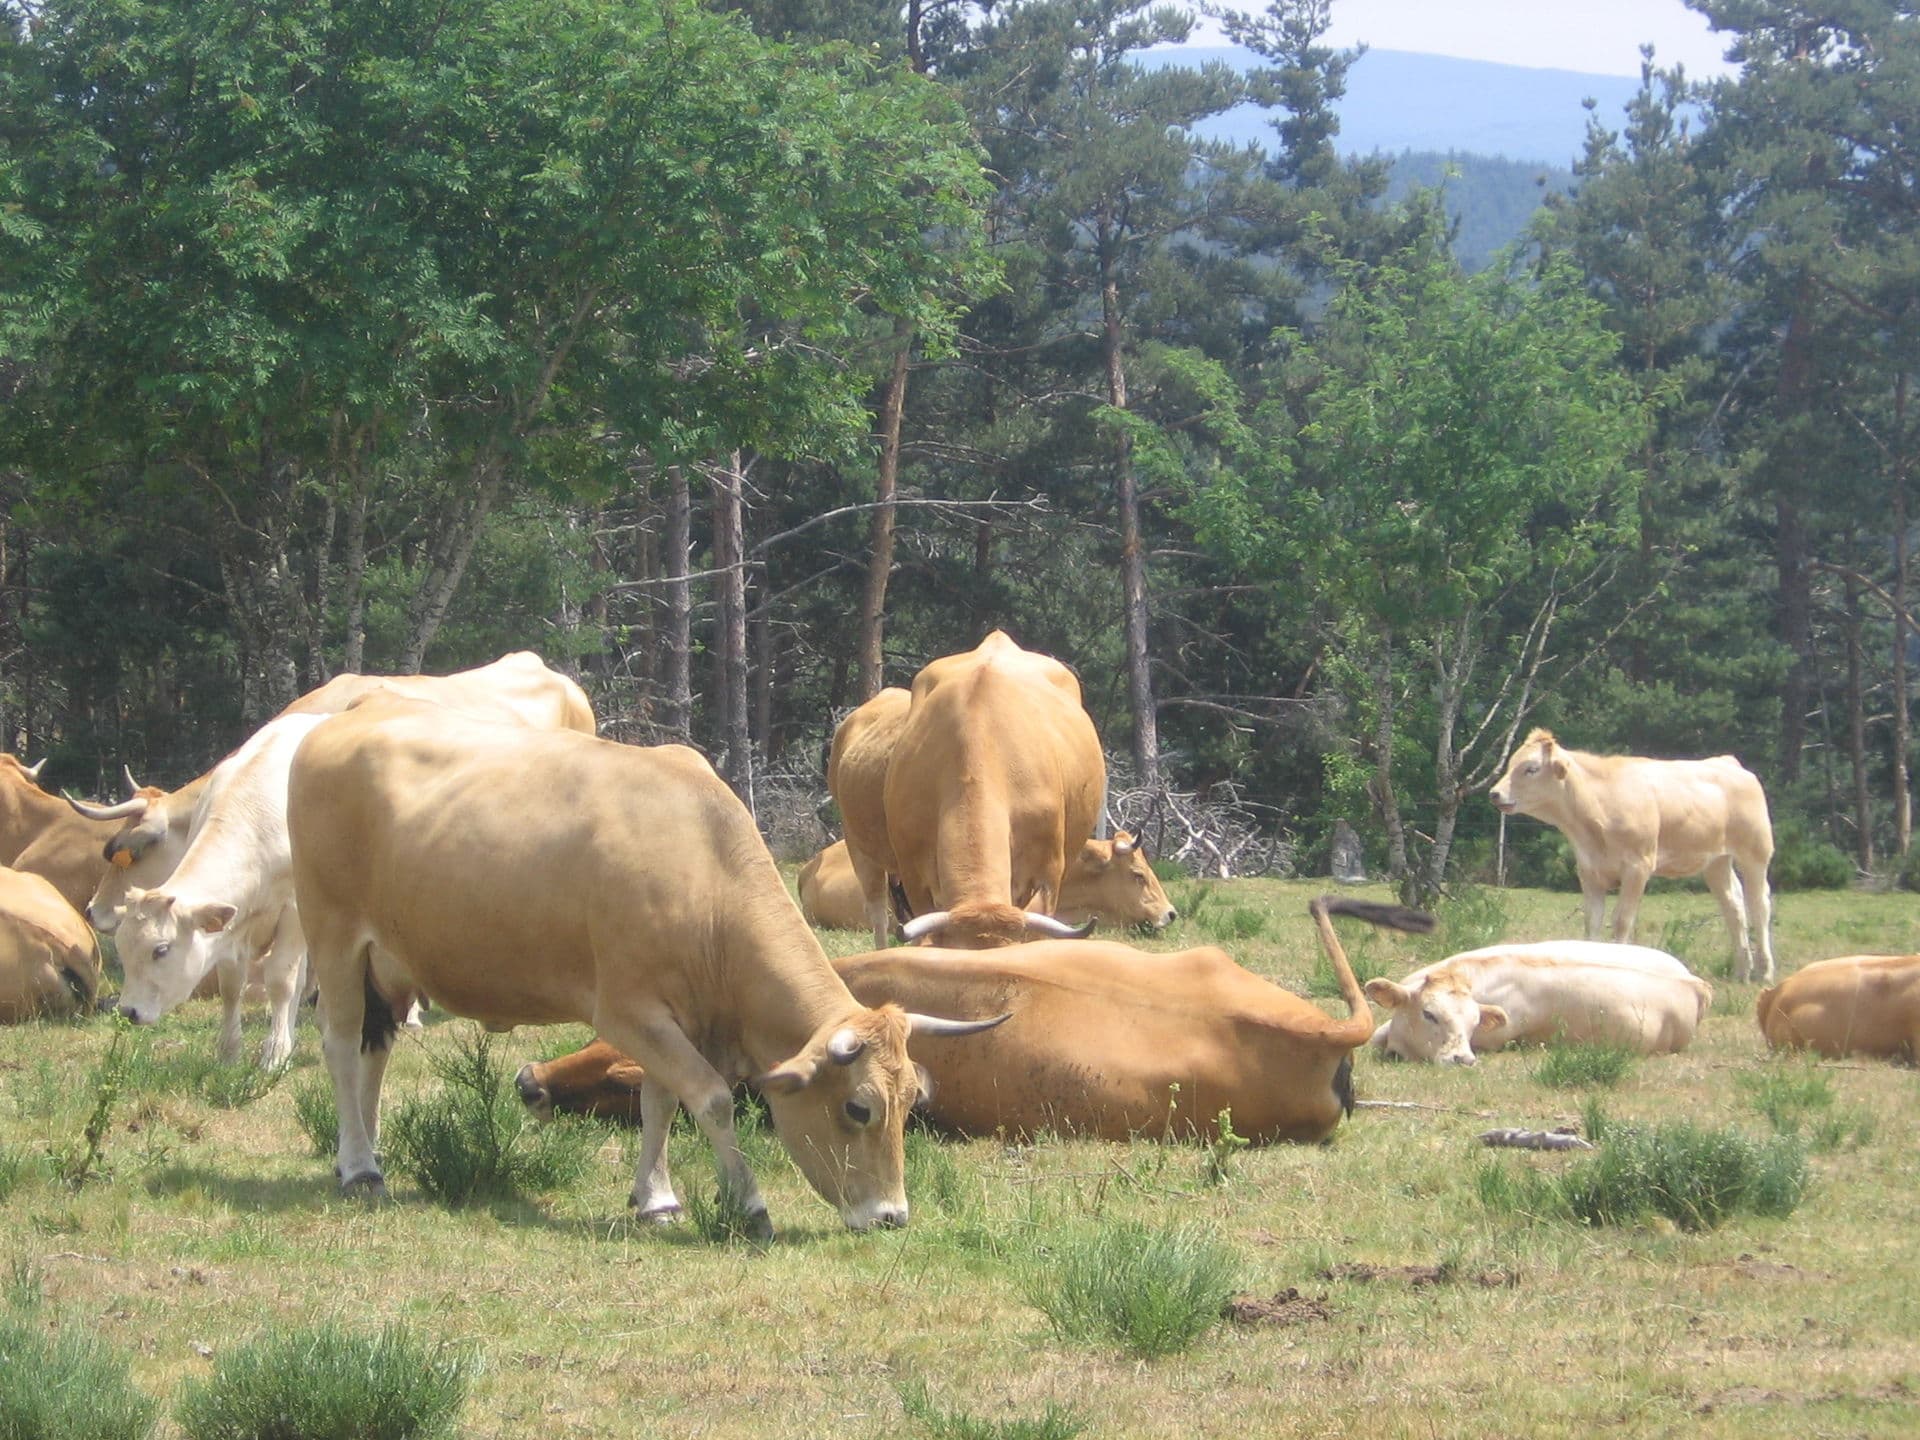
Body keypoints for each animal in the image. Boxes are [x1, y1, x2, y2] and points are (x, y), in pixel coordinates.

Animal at [1489, 728, 1776, 982]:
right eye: (1511, 763)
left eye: (1531, 768)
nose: (1494, 793)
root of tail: (1726, 762)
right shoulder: (1589, 871)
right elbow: (1592, 922)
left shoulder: (1638, 866)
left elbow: (1621, 921)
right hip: (1716, 861)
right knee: (1733, 906)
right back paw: (1742, 972)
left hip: (1755, 852)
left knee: (1758, 905)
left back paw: (1764, 972)